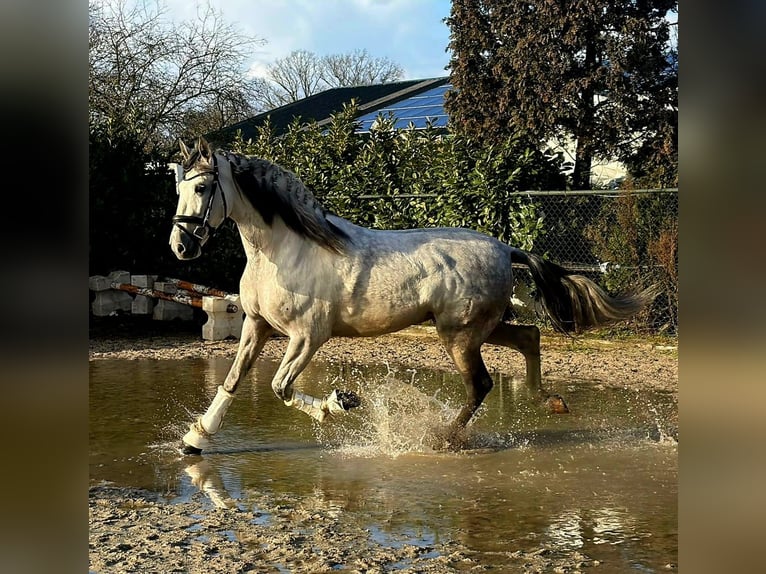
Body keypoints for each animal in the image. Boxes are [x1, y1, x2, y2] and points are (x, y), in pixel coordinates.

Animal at [170, 136, 655, 454]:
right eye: (178, 187)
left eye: (202, 187)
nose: (181, 246)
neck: (285, 250)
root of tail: (504, 247)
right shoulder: (257, 325)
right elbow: (234, 380)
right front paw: (195, 439)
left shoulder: (307, 336)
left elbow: (280, 387)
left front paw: (339, 405)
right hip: (479, 327)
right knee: (529, 337)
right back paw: (548, 401)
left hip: (460, 336)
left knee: (481, 384)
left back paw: (443, 438)